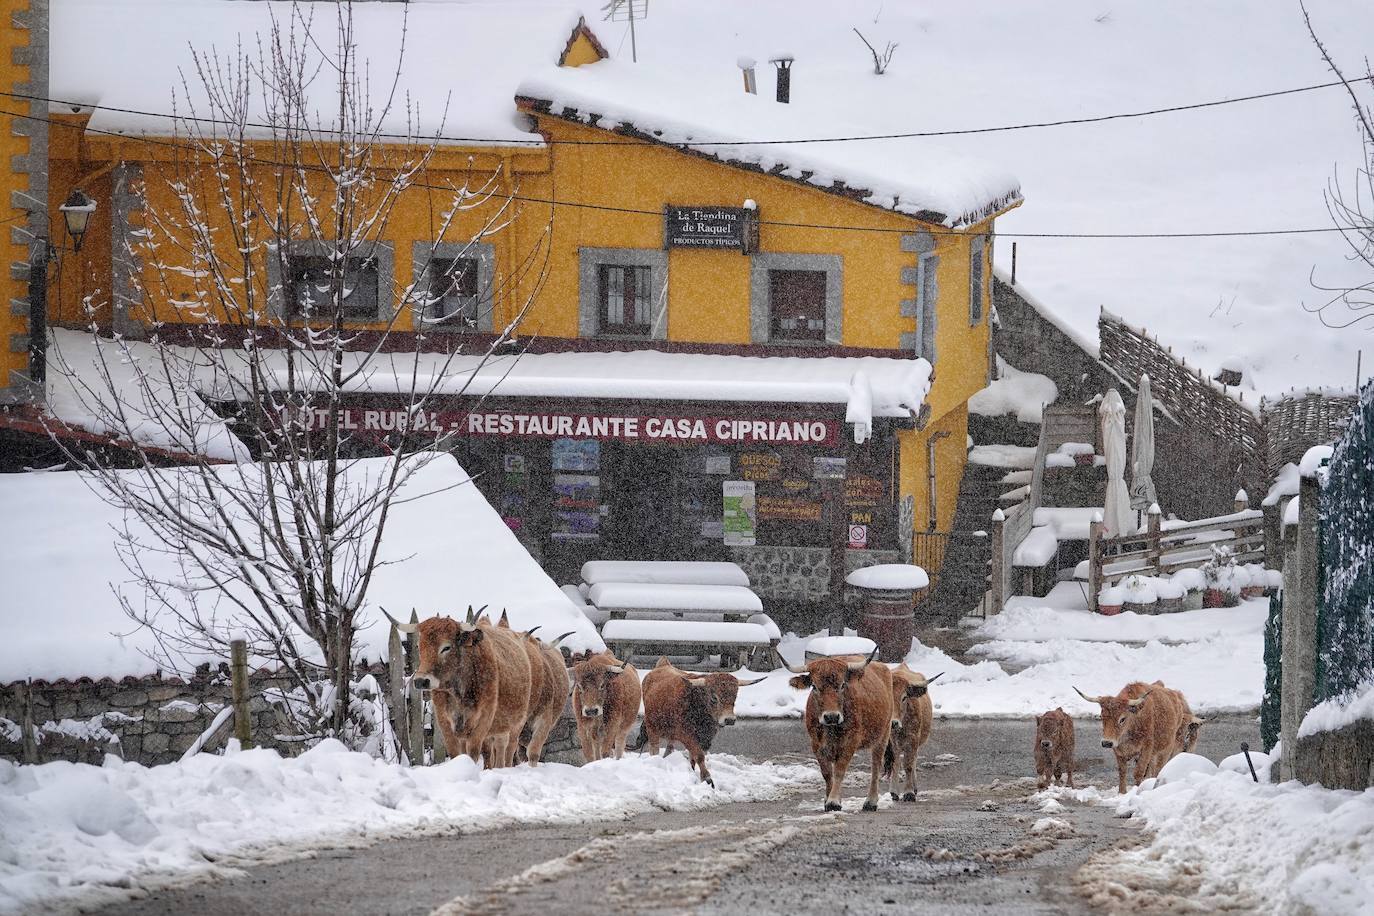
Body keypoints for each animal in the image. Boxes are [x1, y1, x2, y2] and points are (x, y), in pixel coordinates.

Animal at [785, 648, 890, 813]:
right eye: (814, 686)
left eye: (842, 685)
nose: (831, 716)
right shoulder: (817, 744)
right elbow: (827, 773)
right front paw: (829, 799)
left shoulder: (850, 742)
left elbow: (840, 770)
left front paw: (833, 801)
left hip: (882, 736)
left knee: (876, 766)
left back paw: (871, 802)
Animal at [884, 667, 939, 802]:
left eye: (904, 697)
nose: (893, 723)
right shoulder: (893, 742)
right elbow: (895, 764)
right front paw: (894, 792)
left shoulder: (913, 740)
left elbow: (908, 765)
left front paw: (909, 793)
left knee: (913, 761)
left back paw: (915, 788)